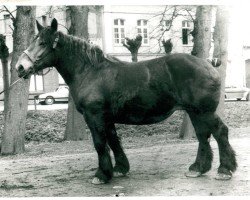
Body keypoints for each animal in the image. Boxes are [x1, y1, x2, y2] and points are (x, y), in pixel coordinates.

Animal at [15, 18, 236, 184]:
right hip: (194, 112)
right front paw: (120, 168)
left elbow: (100, 143)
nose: (20, 67)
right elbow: (113, 141)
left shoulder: (94, 117)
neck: (90, 71)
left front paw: (102, 175)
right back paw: (198, 168)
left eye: (42, 43)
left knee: (219, 132)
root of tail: (207, 63)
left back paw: (224, 170)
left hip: (204, 111)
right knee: (203, 135)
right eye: (34, 41)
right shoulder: (107, 118)